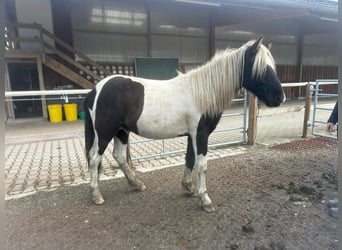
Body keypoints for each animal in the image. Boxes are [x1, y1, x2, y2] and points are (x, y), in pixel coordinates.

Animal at [84, 37, 284, 213]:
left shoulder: (192, 135)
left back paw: (136, 184)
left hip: (121, 131)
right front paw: (205, 200)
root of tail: (96, 89)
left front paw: (188, 188)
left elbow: (190, 159)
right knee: (94, 158)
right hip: (105, 133)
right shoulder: (200, 134)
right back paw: (96, 195)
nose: (279, 98)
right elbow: (201, 165)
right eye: (261, 68)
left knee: (119, 156)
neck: (202, 93)